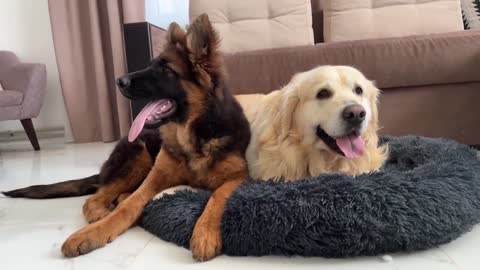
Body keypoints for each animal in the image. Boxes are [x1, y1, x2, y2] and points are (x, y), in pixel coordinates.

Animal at [2, 14, 251, 262]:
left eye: (165, 70)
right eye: (150, 65)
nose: (118, 81)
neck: (189, 135)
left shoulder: (238, 176)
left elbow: (218, 195)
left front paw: (205, 232)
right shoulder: (156, 177)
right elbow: (129, 205)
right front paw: (93, 232)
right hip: (138, 156)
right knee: (95, 199)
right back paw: (101, 213)